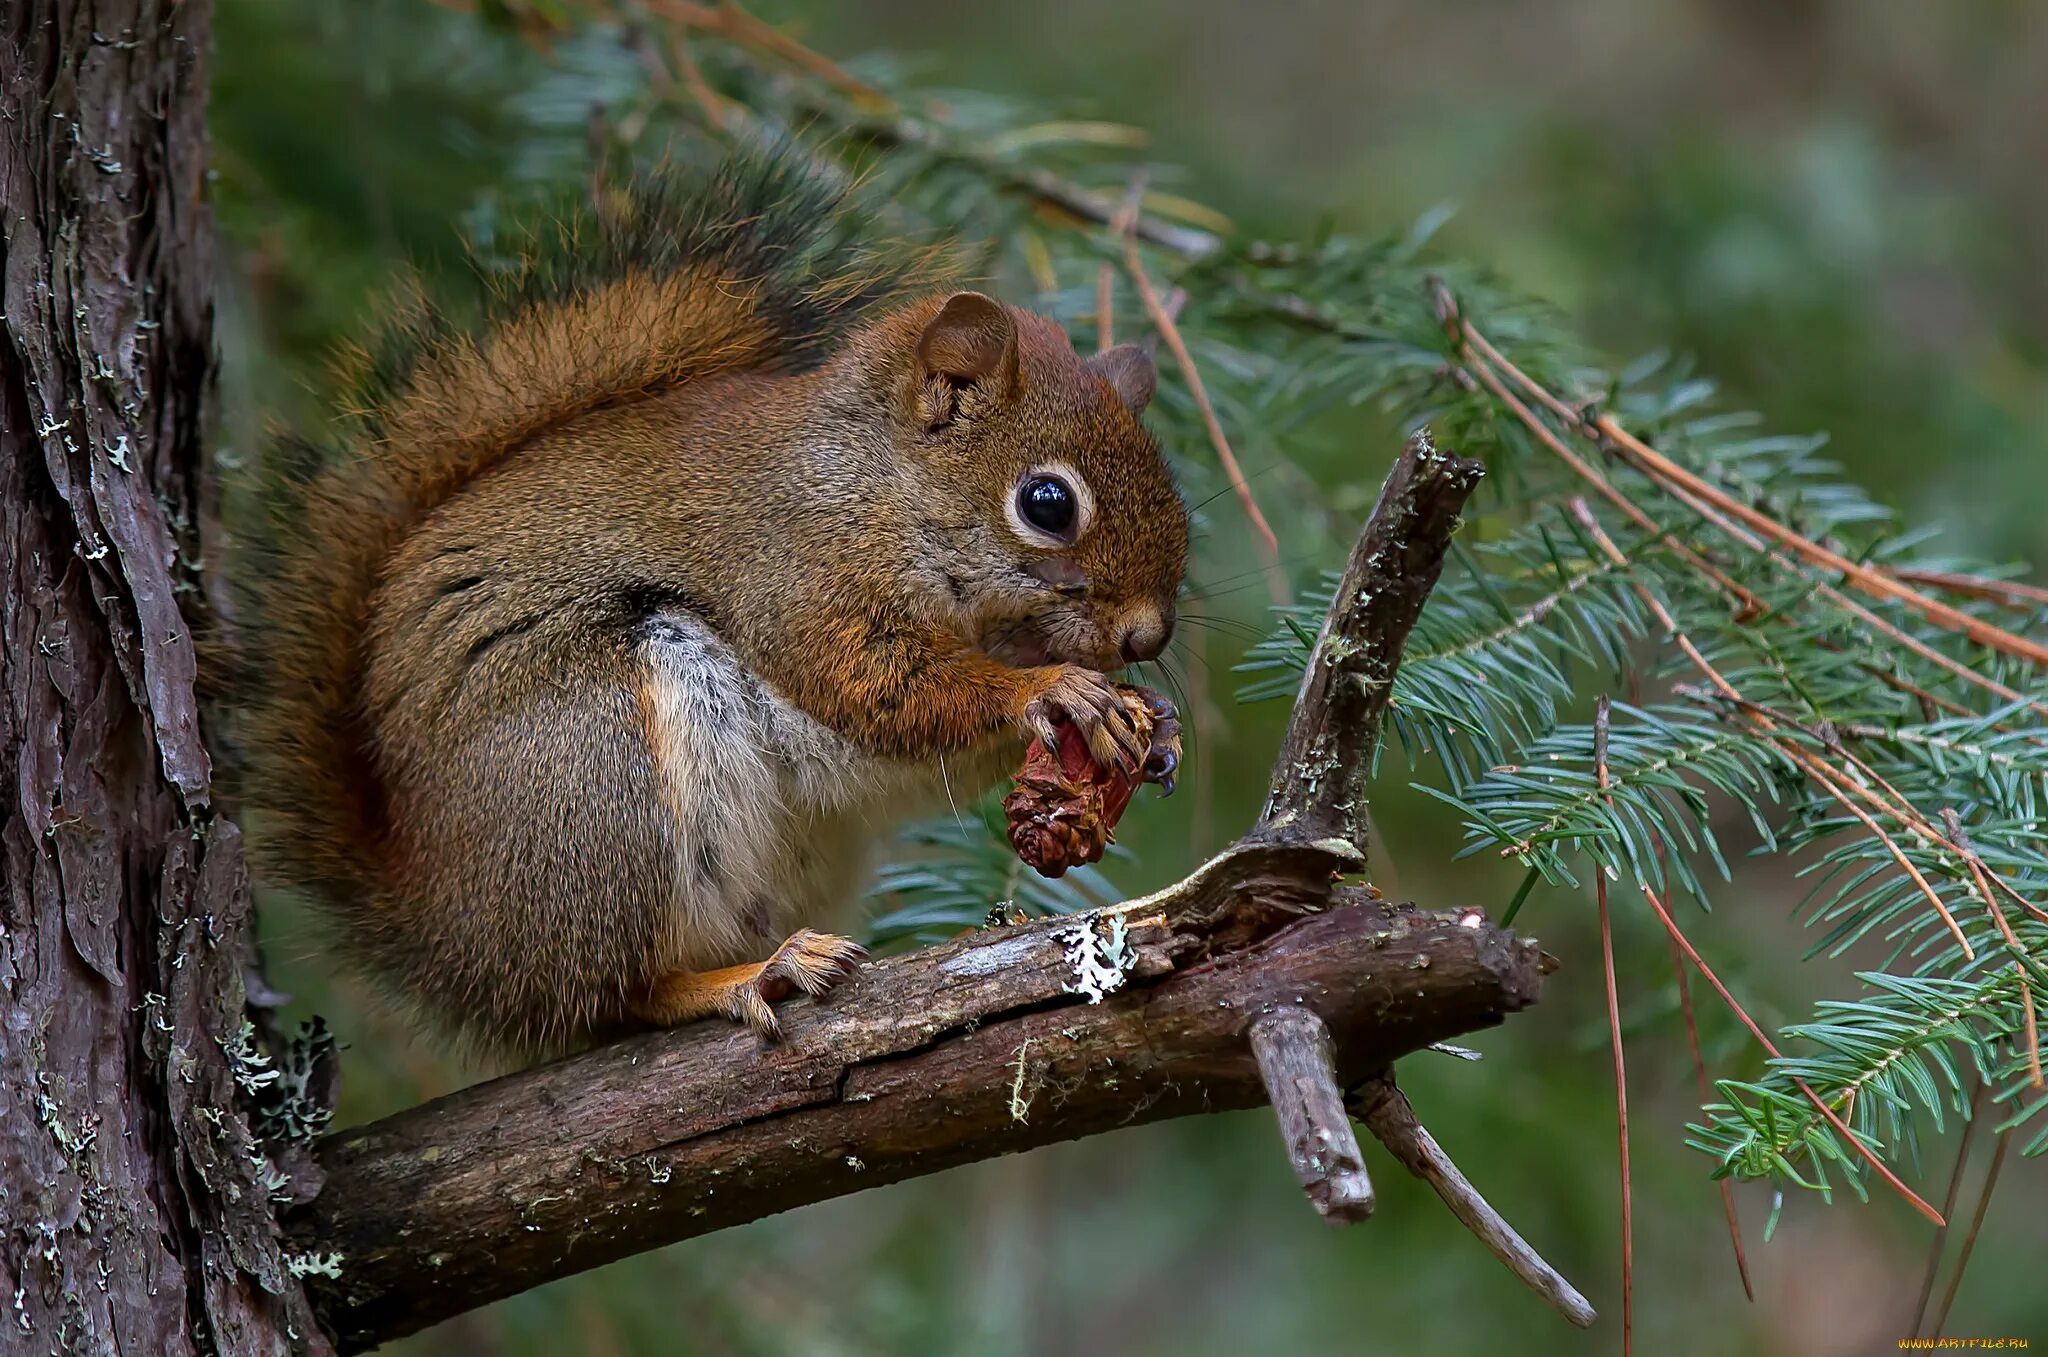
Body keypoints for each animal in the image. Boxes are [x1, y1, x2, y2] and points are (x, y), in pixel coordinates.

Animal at [247, 151, 1196, 1064]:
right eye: (1047, 502)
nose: (1148, 633)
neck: (879, 487)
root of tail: (442, 930)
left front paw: (1151, 719)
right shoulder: (797, 573)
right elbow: (879, 688)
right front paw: (1052, 689)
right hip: (596, 775)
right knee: (616, 995)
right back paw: (747, 976)